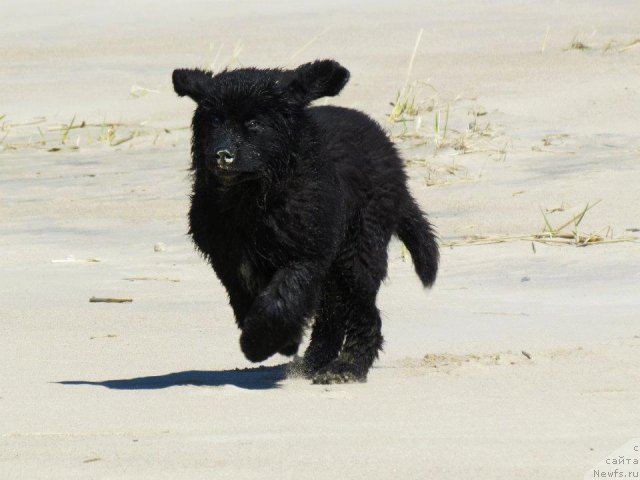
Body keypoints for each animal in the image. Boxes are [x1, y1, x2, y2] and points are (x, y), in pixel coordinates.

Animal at [172, 59, 438, 382]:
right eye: (213, 121)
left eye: (254, 123)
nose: (222, 156)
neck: (252, 198)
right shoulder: (230, 260)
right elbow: (248, 301)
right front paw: (281, 340)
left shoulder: (305, 253)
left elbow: (282, 297)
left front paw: (259, 343)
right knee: (332, 317)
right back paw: (313, 363)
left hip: (357, 252)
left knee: (364, 314)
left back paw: (348, 367)